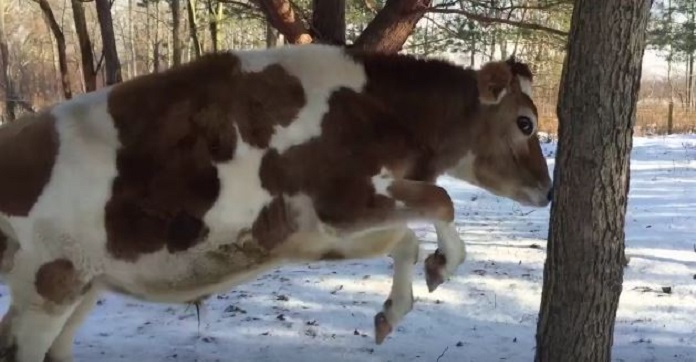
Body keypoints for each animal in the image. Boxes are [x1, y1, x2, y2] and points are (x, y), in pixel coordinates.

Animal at [0, 43, 552, 360]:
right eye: (525, 123)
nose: (548, 191)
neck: (379, 110)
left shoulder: (317, 232)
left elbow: (405, 241)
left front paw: (394, 310)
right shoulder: (341, 199)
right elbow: (441, 201)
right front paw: (444, 263)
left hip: (83, 285)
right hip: (49, 281)